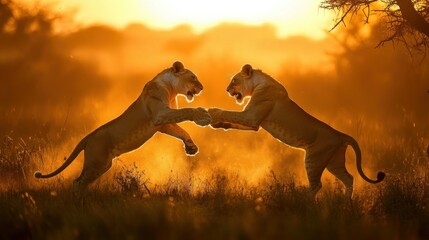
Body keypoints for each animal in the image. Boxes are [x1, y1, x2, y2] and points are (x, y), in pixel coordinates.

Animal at [34, 61, 211, 191]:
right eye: (193, 77)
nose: (202, 88)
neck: (172, 90)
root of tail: (88, 137)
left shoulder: (163, 124)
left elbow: (181, 130)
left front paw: (191, 148)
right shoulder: (160, 115)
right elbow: (187, 111)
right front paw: (203, 115)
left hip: (102, 165)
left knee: (81, 182)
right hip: (97, 162)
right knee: (77, 182)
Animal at [208, 63, 384, 199]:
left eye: (234, 80)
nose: (226, 90)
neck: (259, 83)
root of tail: (339, 134)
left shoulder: (251, 117)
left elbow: (229, 113)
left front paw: (212, 112)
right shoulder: (254, 124)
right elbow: (233, 121)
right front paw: (218, 125)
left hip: (314, 159)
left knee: (317, 185)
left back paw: (304, 204)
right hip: (334, 162)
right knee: (349, 179)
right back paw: (347, 204)